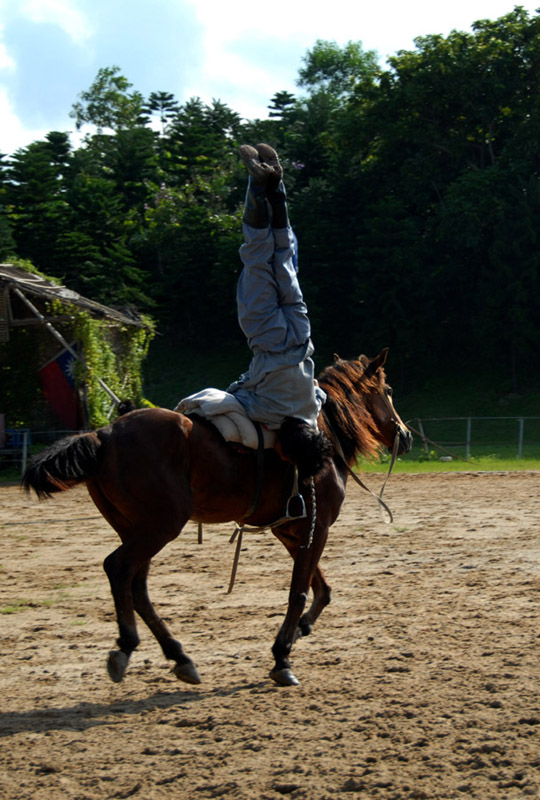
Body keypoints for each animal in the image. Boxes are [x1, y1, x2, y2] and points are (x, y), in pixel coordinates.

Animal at [20, 348, 410, 688]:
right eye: (389, 391)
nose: (404, 435)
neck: (324, 436)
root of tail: (104, 434)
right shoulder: (317, 528)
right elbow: (299, 591)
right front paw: (282, 656)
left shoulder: (291, 532)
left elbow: (320, 588)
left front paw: (299, 630)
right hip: (159, 527)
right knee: (119, 569)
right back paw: (128, 647)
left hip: (135, 529)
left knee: (136, 585)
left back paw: (179, 657)